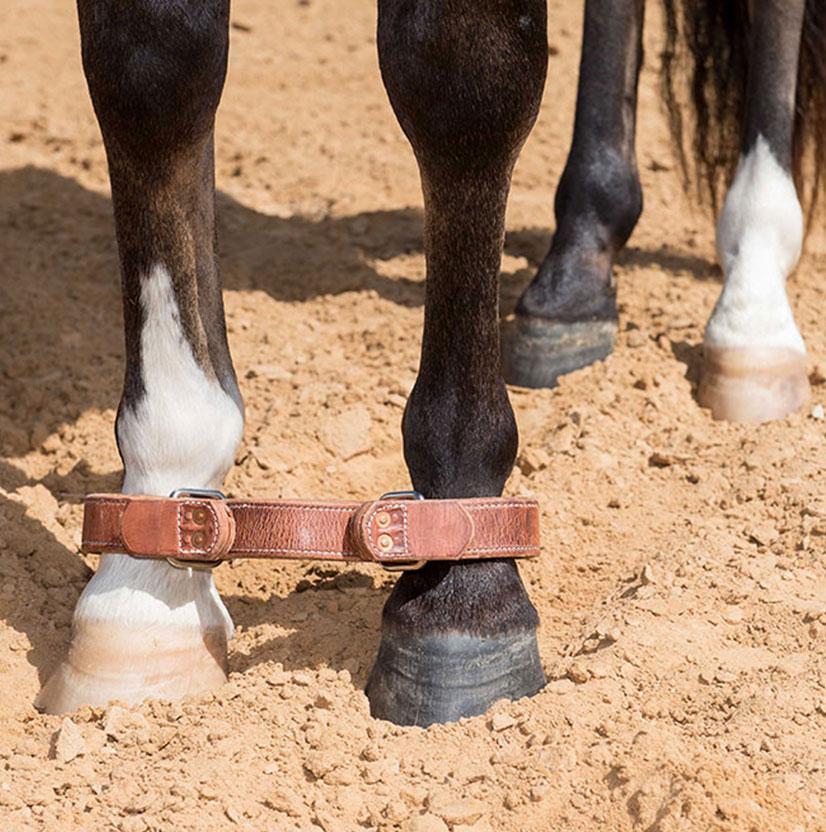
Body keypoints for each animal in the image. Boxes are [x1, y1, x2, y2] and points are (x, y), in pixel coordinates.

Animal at [35, 0, 826, 727]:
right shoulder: (151, 64)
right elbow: (154, 71)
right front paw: (144, 597)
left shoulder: (463, 71)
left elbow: (458, 85)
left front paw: (463, 598)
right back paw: (575, 276)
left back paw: (752, 312)